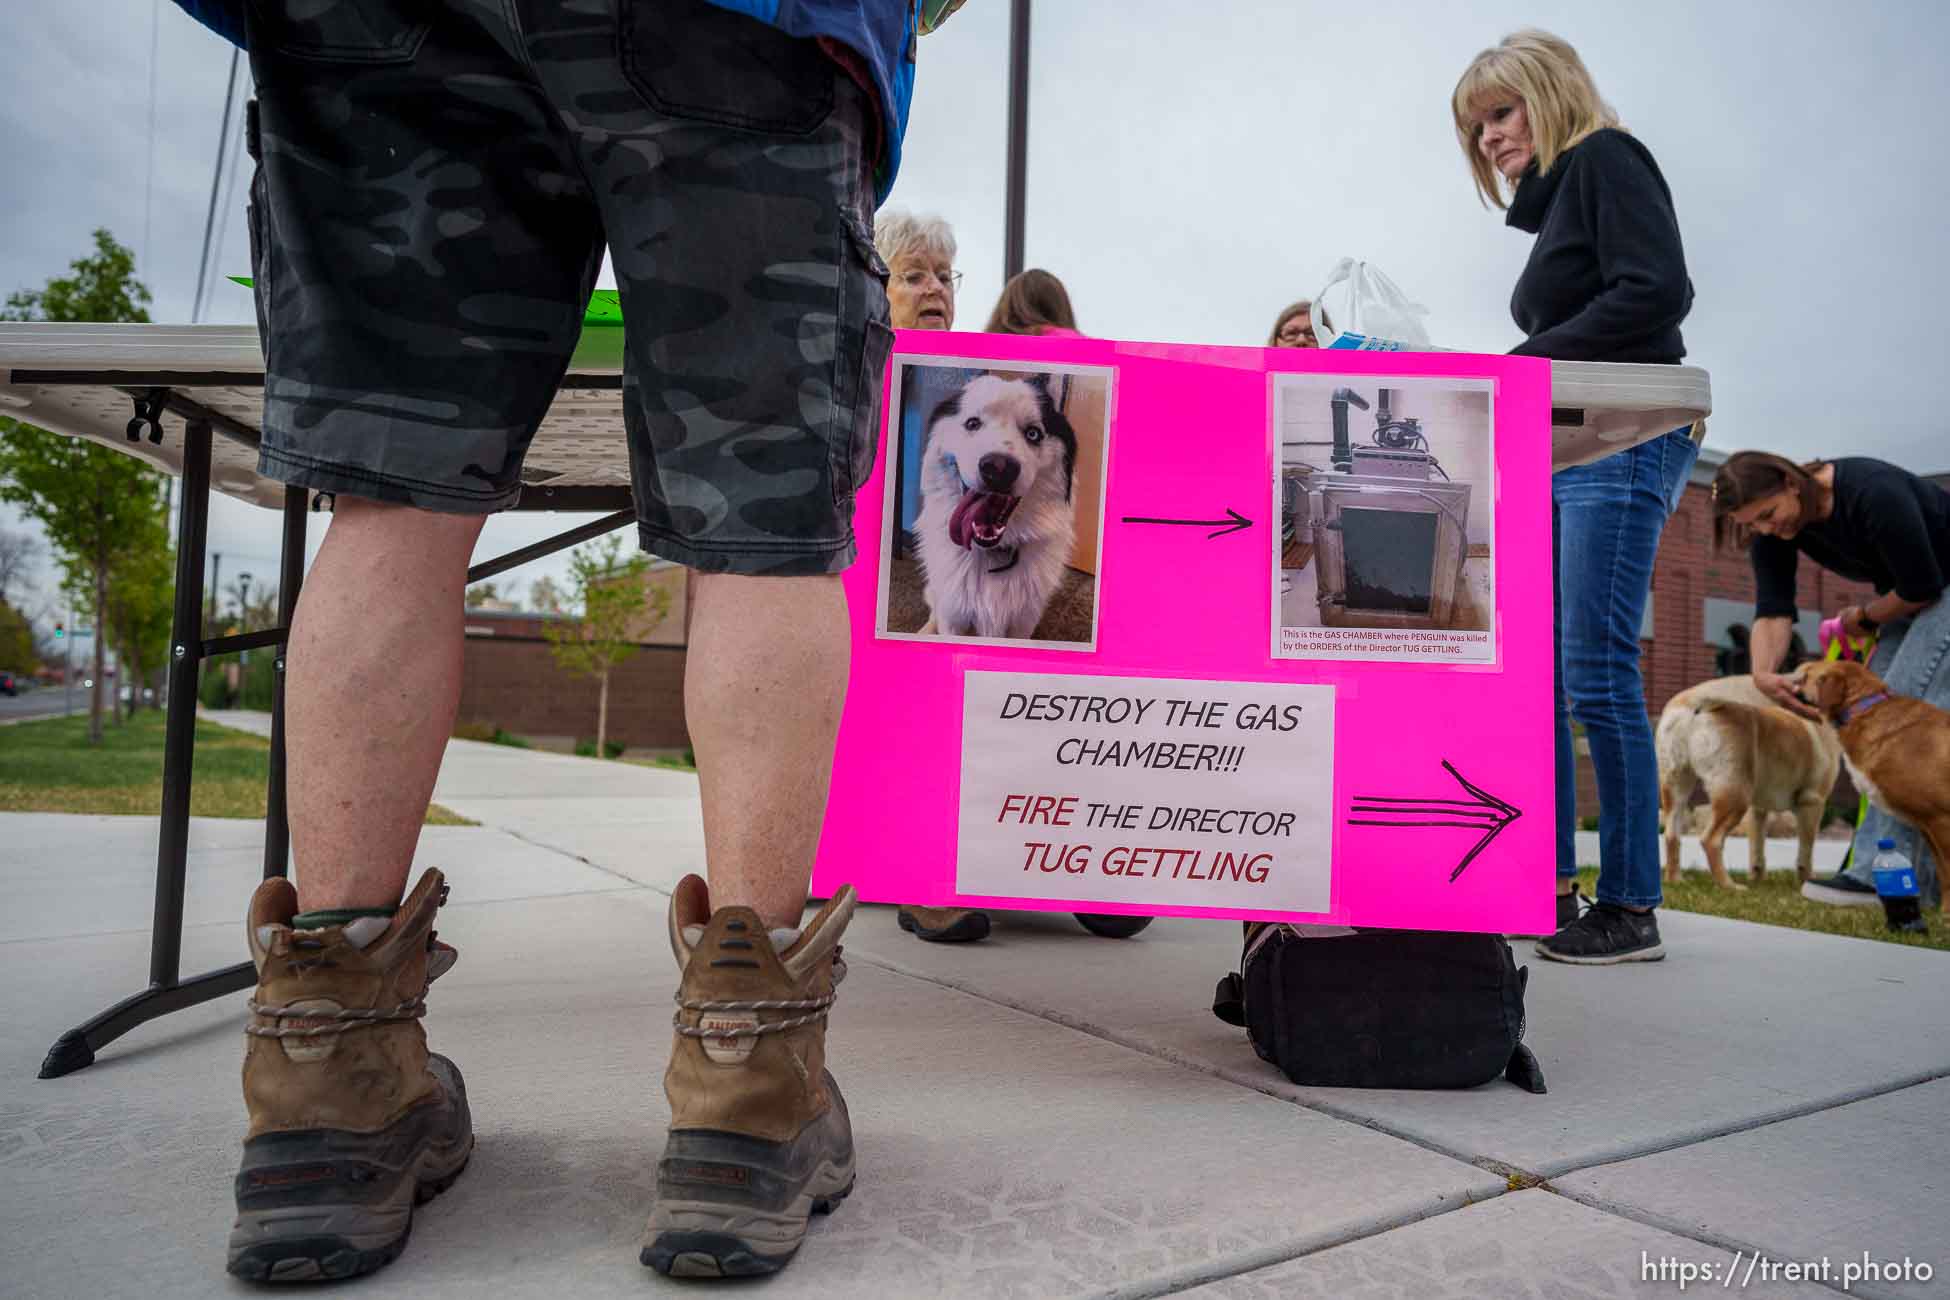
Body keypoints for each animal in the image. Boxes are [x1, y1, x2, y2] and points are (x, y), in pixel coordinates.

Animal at [1661, 678, 1840, 888]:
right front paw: (1806, 881)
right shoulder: (1812, 802)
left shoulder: (1758, 809)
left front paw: (1757, 879)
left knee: (1672, 836)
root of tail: (1694, 704)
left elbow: (1757, 849)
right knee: (1711, 841)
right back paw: (1728, 885)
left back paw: (1676, 880)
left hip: (1676, 787)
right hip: (1735, 798)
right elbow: (1806, 852)